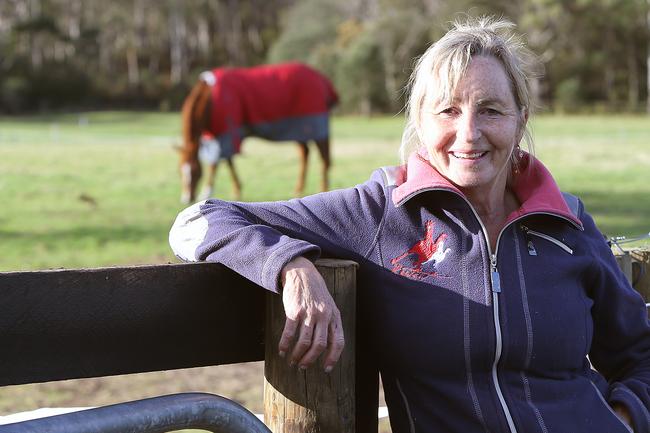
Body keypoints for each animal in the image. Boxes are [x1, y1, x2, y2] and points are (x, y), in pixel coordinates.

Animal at [178, 61, 340, 203]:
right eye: (180, 170)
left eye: (195, 172)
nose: (186, 198)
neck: (210, 97)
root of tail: (320, 78)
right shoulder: (216, 134)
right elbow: (227, 161)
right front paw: (236, 189)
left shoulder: (227, 131)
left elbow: (217, 163)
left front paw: (207, 192)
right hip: (299, 129)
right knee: (305, 153)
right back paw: (299, 188)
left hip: (314, 126)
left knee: (324, 157)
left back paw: (324, 189)